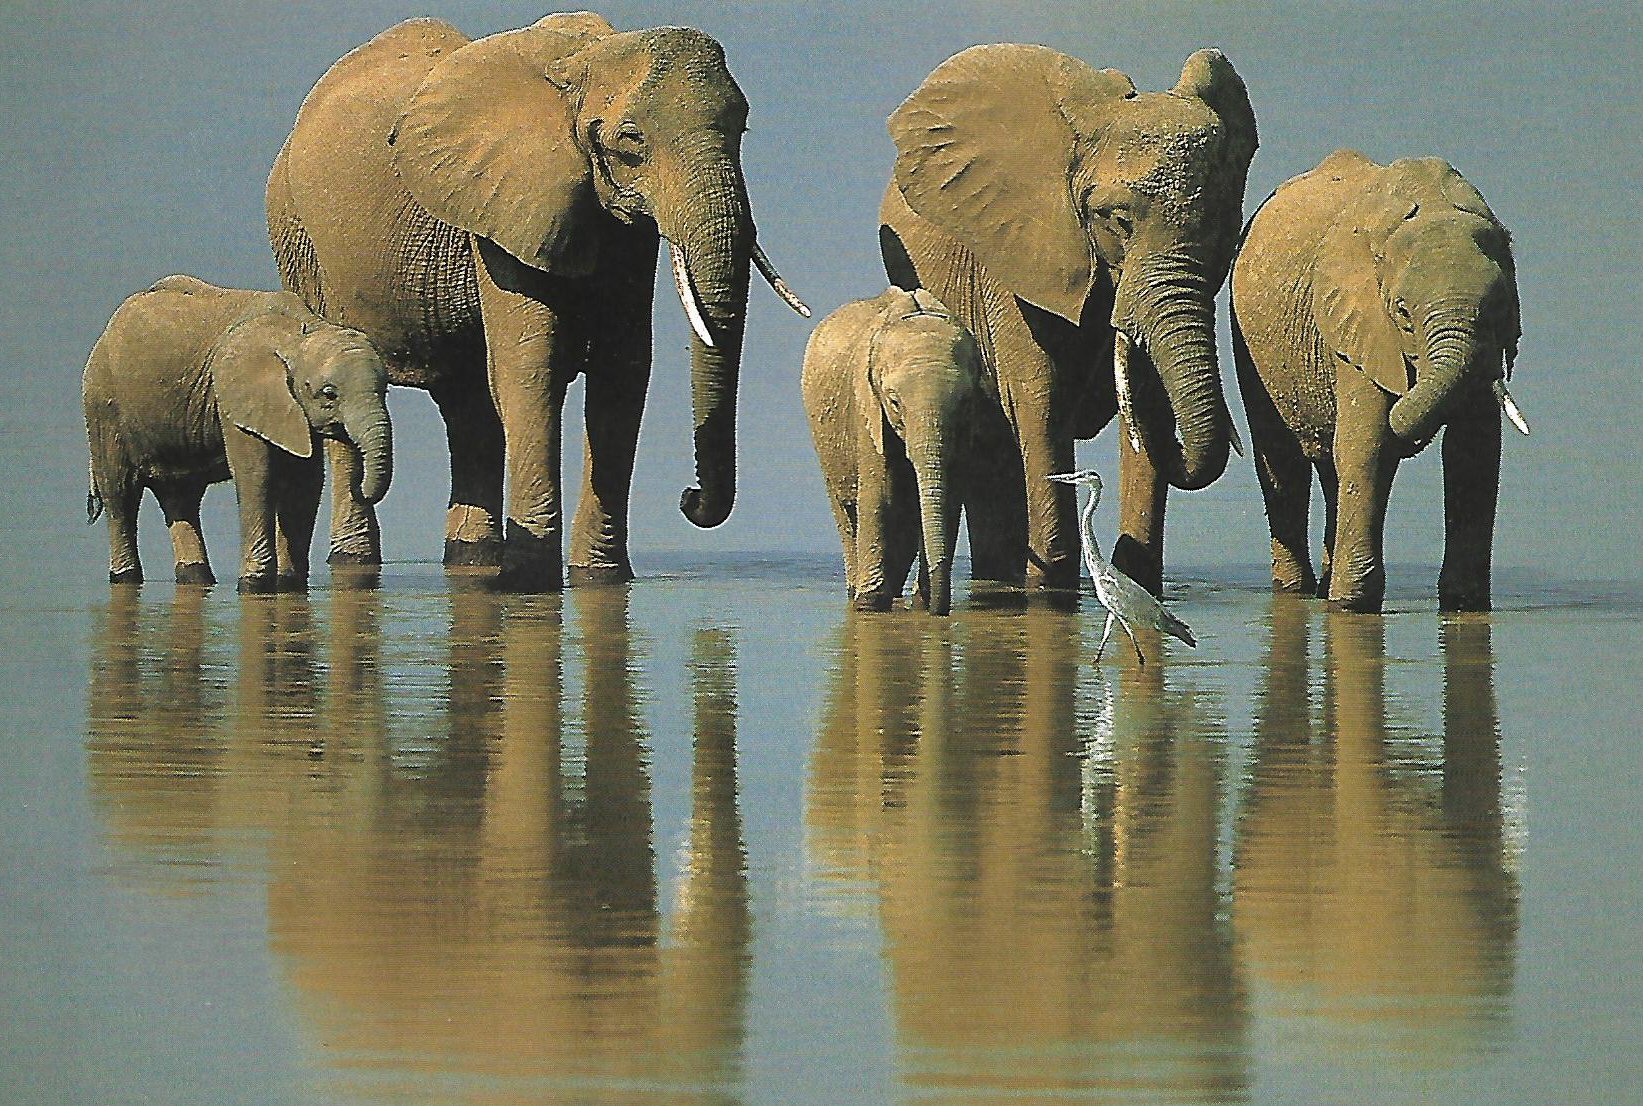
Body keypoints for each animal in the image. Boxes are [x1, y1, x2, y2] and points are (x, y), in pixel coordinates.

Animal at [83, 275, 393, 591]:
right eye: (329, 394)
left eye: (385, 391)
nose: (360, 487)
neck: (299, 331)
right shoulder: (235, 397)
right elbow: (256, 475)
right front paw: (254, 585)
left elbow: (303, 481)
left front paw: (288, 584)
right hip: (102, 406)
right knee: (120, 494)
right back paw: (124, 576)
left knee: (181, 495)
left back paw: (196, 576)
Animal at [268, 12, 806, 591]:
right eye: (630, 140)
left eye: (741, 129)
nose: (689, 498)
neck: (582, 66)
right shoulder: (503, 206)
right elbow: (532, 366)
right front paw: (530, 581)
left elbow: (623, 368)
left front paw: (599, 577)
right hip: (300, 241)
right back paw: (358, 561)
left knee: (469, 402)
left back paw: (473, 558)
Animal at [801, 287, 984, 616]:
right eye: (894, 403)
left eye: (964, 402)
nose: (939, 610)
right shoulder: (866, 407)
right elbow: (880, 495)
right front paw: (869, 604)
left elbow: (949, 496)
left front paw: (922, 602)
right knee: (846, 511)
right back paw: (858, 592)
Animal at [879, 46, 1257, 595]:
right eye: (1116, 220)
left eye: (1227, 228)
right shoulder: (1016, 254)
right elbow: (1041, 398)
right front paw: (1052, 588)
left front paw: (1133, 575)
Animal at [1231, 150, 1530, 611]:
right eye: (1403, 313)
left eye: (1500, 307)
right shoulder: (1356, 325)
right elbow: (1366, 445)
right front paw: (1351, 605)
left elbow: (1474, 453)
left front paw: (1464, 603)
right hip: (1252, 344)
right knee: (1282, 459)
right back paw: (1299, 590)